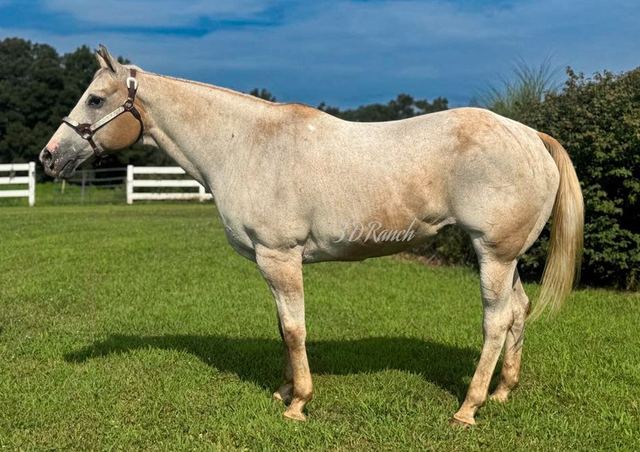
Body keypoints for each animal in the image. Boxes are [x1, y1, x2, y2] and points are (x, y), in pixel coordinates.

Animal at [40, 46, 583, 425]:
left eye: (95, 98)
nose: (48, 157)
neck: (246, 146)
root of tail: (531, 135)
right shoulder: (271, 261)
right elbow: (283, 328)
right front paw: (282, 391)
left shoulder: (280, 257)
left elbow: (296, 328)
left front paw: (298, 403)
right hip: (505, 258)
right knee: (518, 312)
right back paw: (502, 392)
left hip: (493, 254)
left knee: (496, 321)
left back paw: (468, 408)